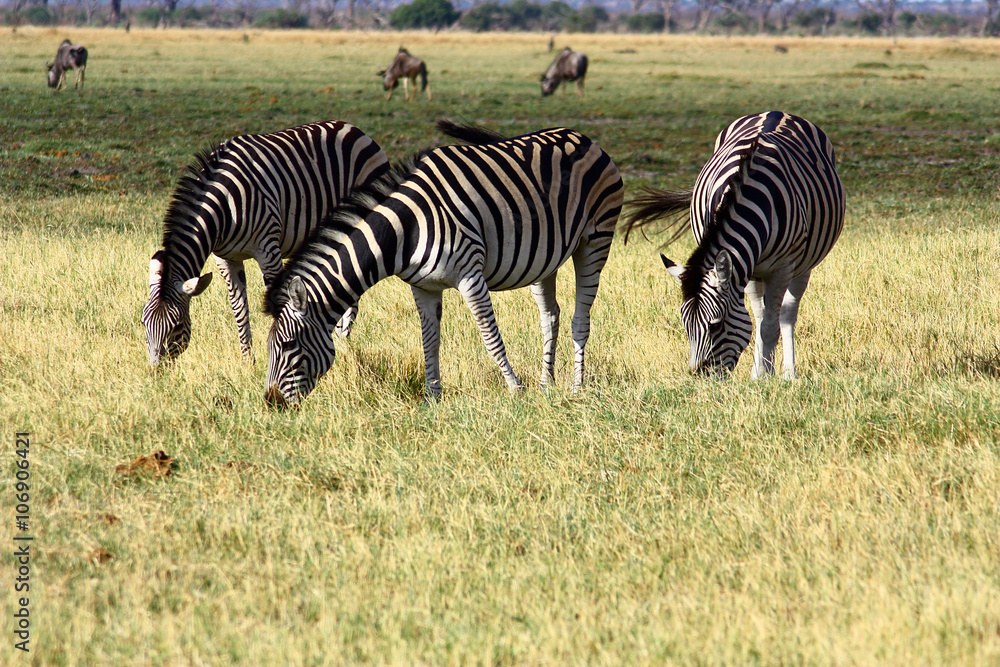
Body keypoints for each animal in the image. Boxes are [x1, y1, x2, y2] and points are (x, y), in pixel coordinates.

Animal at [143, 120, 389, 366]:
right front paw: (247, 361)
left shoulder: (268, 249)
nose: (157, 371)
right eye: (144, 322)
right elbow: (239, 308)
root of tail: (353, 129)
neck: (222, 209)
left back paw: (342, 341)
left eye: (176, 325)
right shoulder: (225, 259)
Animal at [263, 120, 624, 407]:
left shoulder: (470, 275)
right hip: (545, 259)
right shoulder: (423, 286)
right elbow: (429, 340)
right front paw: (432, 396)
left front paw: (514, 389)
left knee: (580, 319)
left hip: (595, 240)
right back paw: (546, 384)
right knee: (550, 316)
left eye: (289, 345)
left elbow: (490, 336)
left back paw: (576, 387)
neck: (405, 229)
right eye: (268, 348)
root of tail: (583, 137)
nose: (271, 404)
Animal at [622, 111, 845, 379]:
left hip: (804, 263)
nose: (701, 378)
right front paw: (761, 372)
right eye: (685, 325)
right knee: (762, 313)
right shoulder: (744, 267)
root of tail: (774, 112)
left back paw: (788, 373)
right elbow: (759, 321)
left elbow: (771, 325)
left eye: (716, 326)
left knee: (786, 314)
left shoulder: (782, 268)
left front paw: (763, 377)